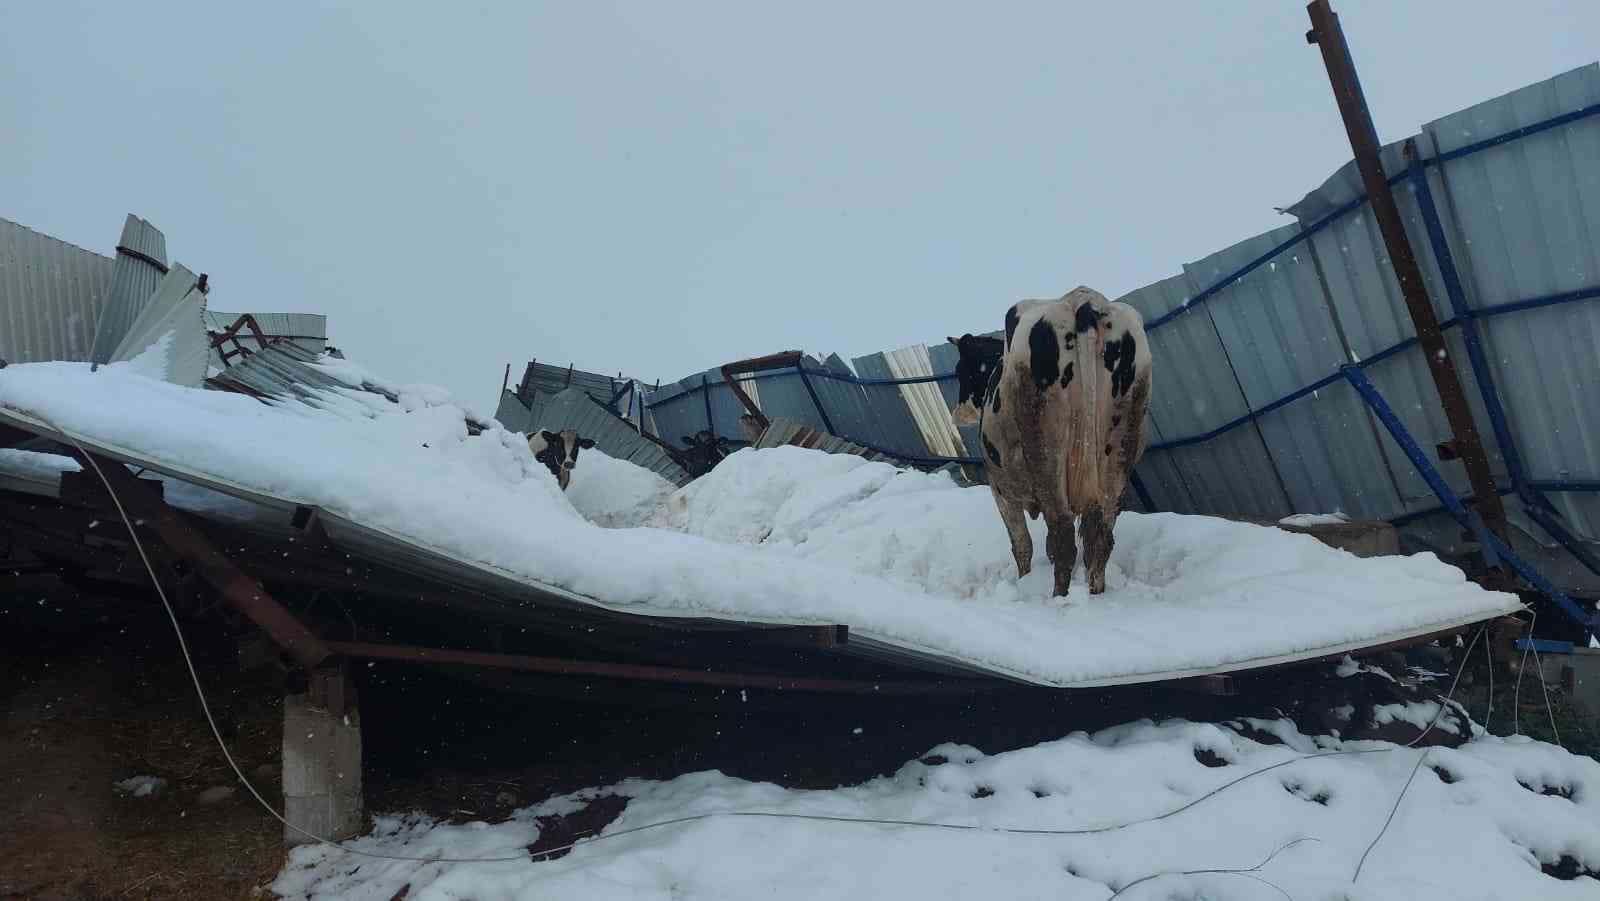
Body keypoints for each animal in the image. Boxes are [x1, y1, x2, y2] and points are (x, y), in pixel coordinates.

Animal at [940, 288, 1158, 598]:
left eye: (961, 370)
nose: (958, 415)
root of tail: (1083, 300)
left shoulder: (1000, 491)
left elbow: (1022, 545)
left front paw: (1023, 581)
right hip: (1118, 453)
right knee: (1100, 538)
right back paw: (1095, 593)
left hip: (1045, 453)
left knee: (1063, 536)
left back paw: (1058, 598)